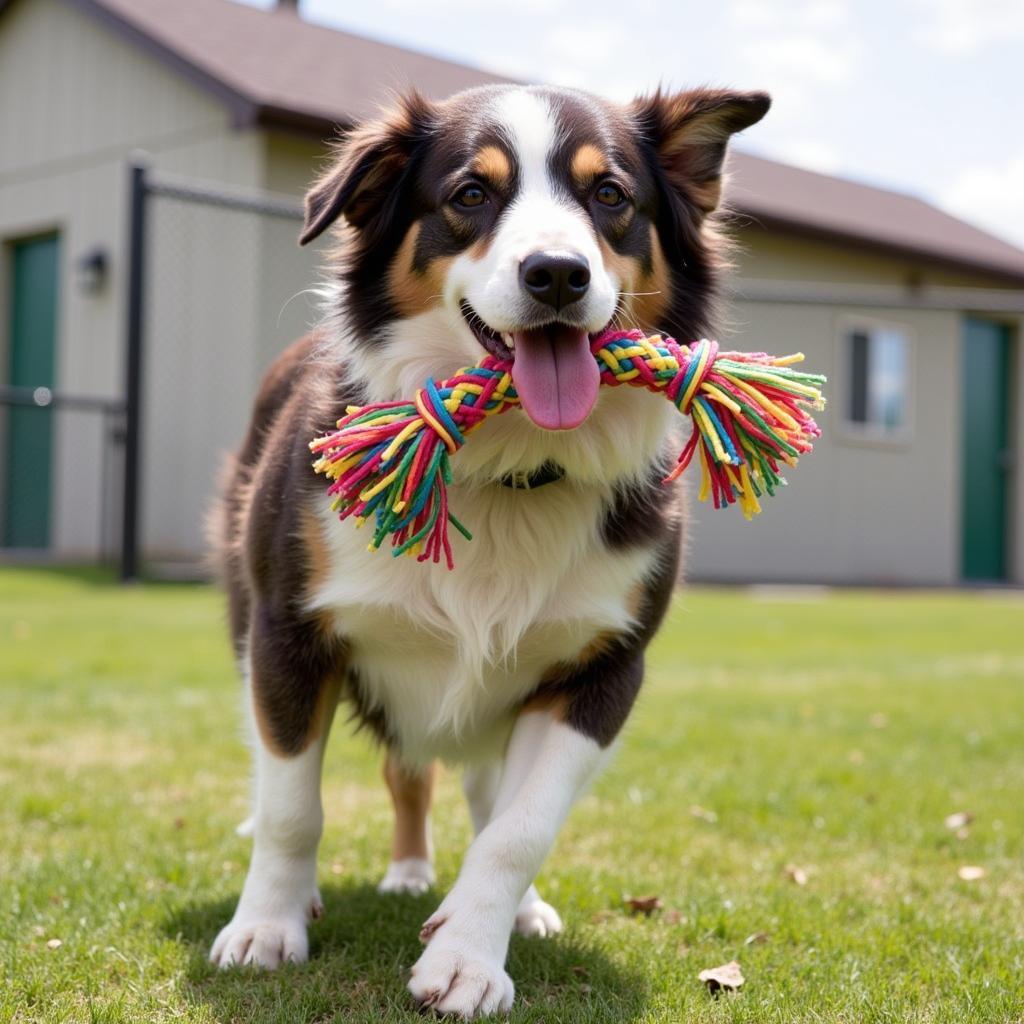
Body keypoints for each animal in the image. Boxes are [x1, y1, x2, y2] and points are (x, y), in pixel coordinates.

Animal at [209, 81, 770, 1015]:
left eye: (609, 195)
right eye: (471, 193)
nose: (558, 273)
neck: (510, 468)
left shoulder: (602, 668)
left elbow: (518, 828)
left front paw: (469, 955)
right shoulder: (292, 634)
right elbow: (295, 805)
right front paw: (266, 928)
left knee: (473, 785)